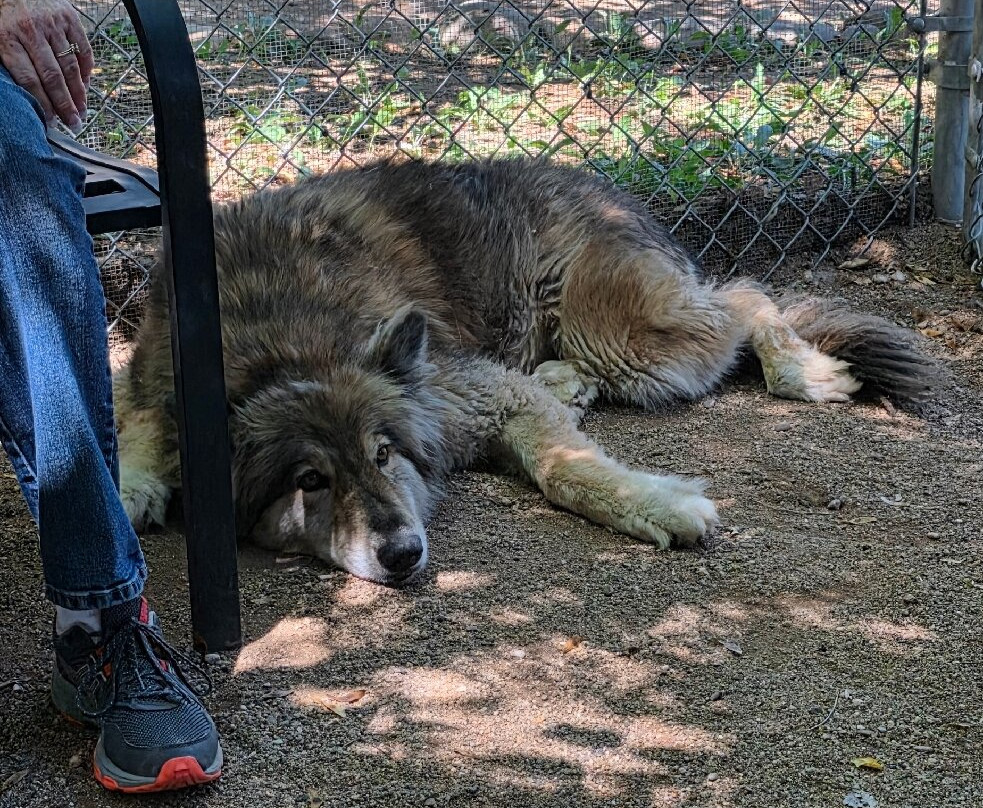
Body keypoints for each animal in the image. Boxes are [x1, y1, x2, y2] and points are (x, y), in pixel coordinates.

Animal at [114, 158, 934, 585]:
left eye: (384, 454)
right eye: (309, 480)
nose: (403, 554)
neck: (284, 349)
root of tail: (608, 186)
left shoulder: (474, 396)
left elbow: (568, 469)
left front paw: (661, 507)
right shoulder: (151, 367)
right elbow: (133, 418)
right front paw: (131, 488)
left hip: (629, 341)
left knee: (745, 296)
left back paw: (802, 370)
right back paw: (564, 382)